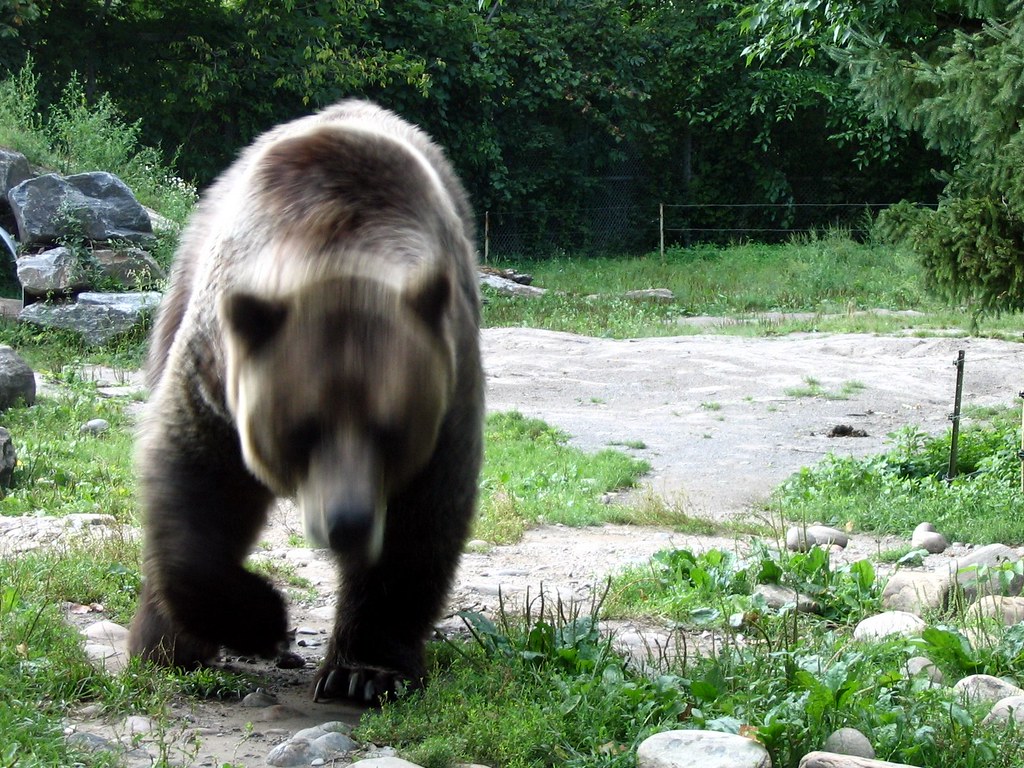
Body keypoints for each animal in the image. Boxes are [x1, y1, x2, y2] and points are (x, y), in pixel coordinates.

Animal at [127, 99, 483, 704]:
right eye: (301, 430)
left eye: (392, 431)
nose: (348, 522)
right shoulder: (216, 373)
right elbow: (193, 483)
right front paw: (261, 620)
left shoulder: (448, 383)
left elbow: (419, 521)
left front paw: (363, 672)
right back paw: (165, 644)